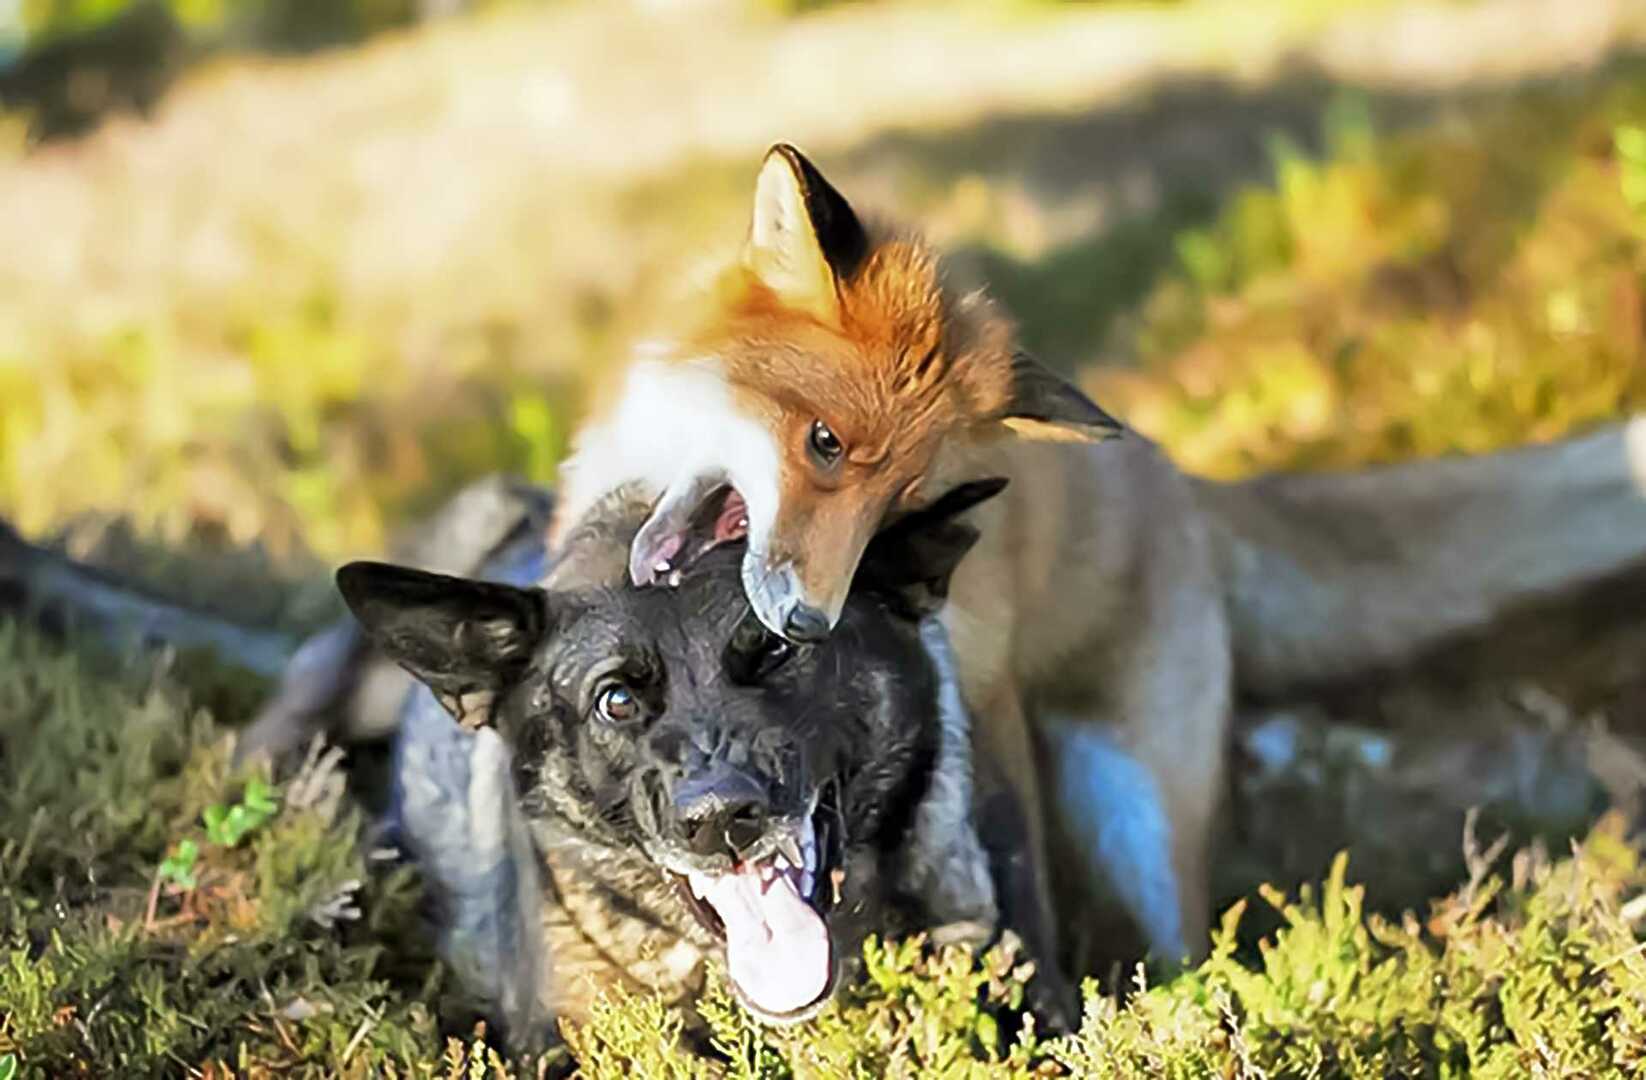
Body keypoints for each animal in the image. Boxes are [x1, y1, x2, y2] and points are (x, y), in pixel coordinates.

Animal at [549, 143, 1646, 981]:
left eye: (900, 502)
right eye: (823, 444)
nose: (809, 622)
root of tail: (1180, 479)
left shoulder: (975, 706)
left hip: (1136, 820)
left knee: (1180, 946)